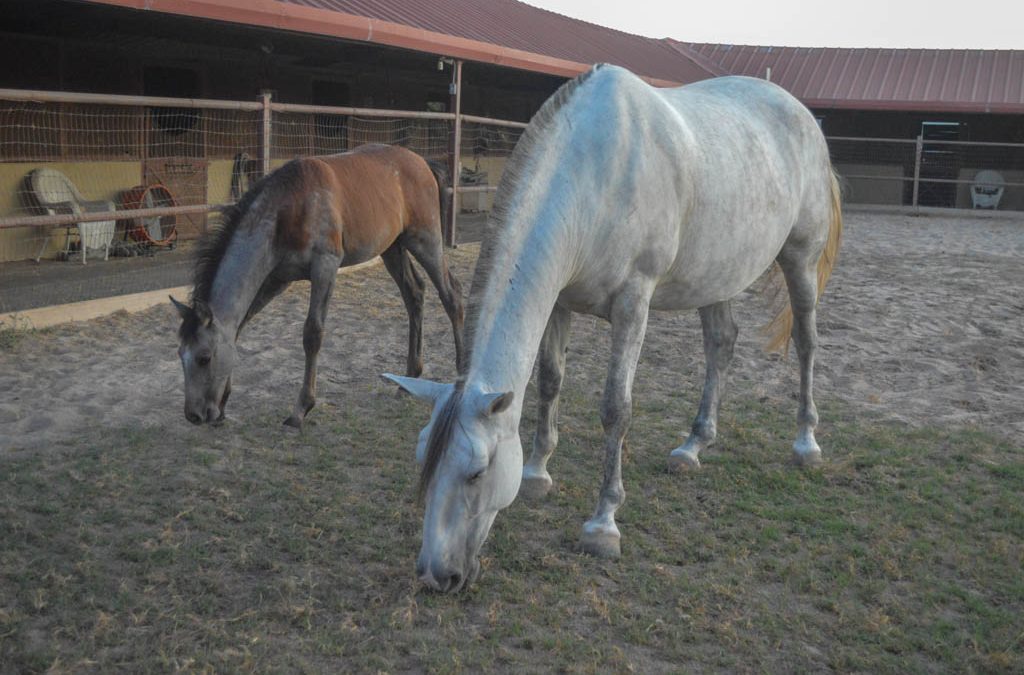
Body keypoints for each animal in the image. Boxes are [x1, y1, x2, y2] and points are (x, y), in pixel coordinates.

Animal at [172, 143, 464, 428]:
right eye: (180, 354)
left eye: (204, 357)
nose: (194, 415)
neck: (288, 209)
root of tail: (423, 163)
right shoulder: (277, 279)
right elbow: (240, 327)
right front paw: (223, 404)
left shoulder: (325, 267)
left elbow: (312, 334)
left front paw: (301, 409)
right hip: (392, 248)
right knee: (414, 294)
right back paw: (409, 379)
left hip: (425, 240)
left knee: (452, 295)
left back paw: (462, 374)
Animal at [385, 64, 842, 593]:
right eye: (423, 457)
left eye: (477, 473)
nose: (435, 575)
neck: (595, 174)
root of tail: (801, 113)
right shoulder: (560, 300)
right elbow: (550, 383)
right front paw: (537, 474)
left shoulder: (632, 304)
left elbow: (615, 409)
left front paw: (603, 525)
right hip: (717, 274)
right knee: (721, 345)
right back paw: (692, 447)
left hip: (800, 258)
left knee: (806, 342)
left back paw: (806, 443)